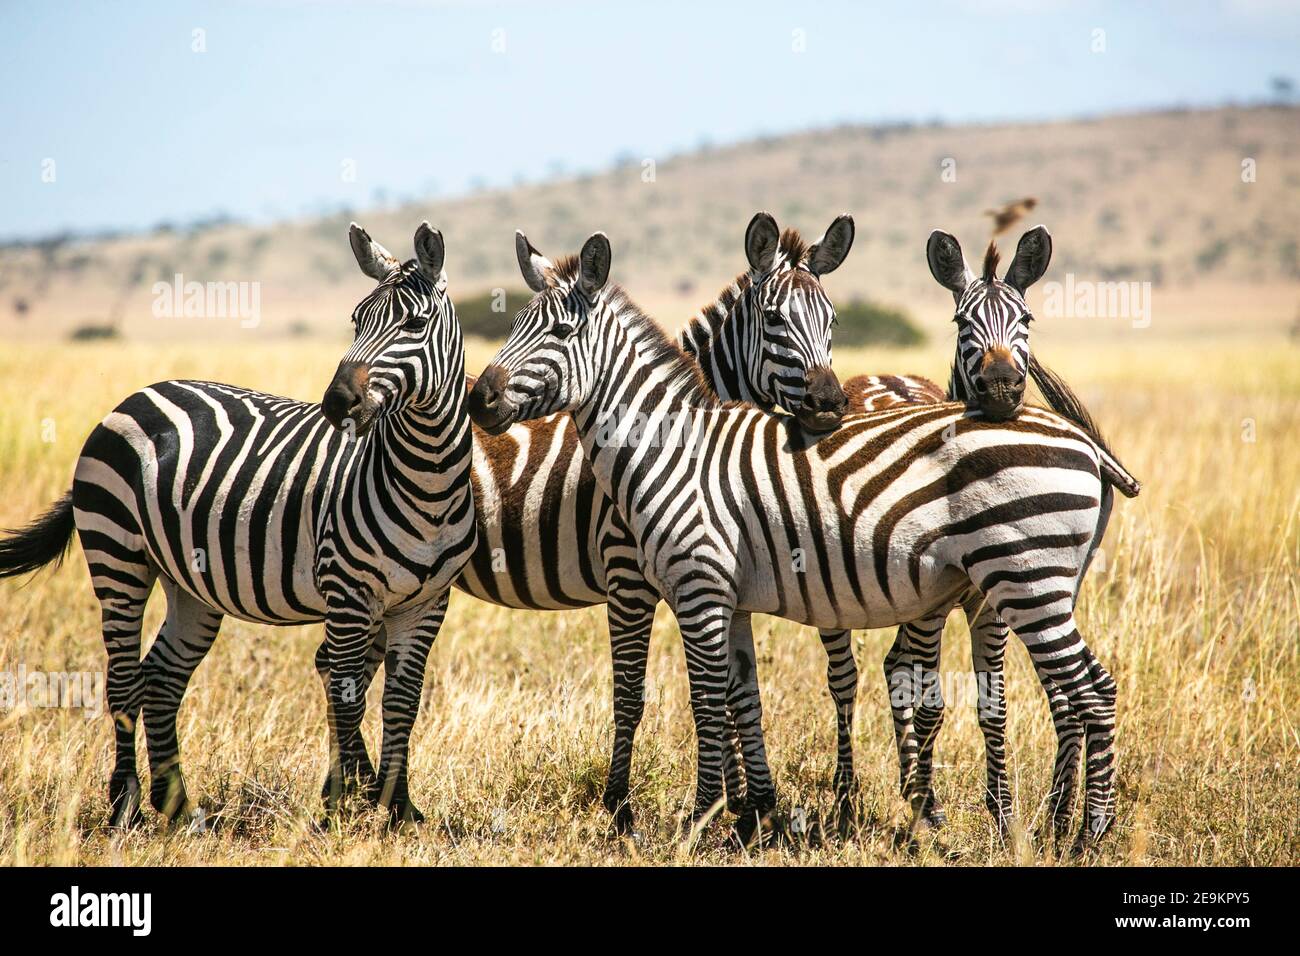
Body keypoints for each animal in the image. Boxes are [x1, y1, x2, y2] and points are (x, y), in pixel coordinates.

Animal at [0, 222, 476, 828]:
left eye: (414, 324)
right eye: (356, 319)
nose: (336, 402)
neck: (428, 479)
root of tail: (137, 394)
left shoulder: (427, 602)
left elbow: (402, 701)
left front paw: (399, 808)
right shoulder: (347, 593)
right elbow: (348, 695)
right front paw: (344, 807)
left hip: (188, 583)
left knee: (161, 679)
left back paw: (178, 805)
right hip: (117, 555)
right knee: (123, 680)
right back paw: (126, 806)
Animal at [328, 212, 857, 834]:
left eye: (833, 319)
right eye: (775, 319)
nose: (830, 405)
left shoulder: (723, 573)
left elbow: (736, 691)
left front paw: (747, 808)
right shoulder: (629, 576)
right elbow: (635, 691)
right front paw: (628, 806)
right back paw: (352, 790)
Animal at [467, 230, 1138, 851]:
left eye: (558, 331)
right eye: (514, 323)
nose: (479, 397)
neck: (673, 448)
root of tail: (1083, 440)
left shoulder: (691, 585)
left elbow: (699, 699)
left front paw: (692, 823)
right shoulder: (727, 598)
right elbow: (739, 697)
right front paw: (746, 818)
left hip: (1026, 579)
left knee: (1094, 691)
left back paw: (1090, 833)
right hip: (1036, 587)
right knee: (1076, 691)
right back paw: (1064, 827)